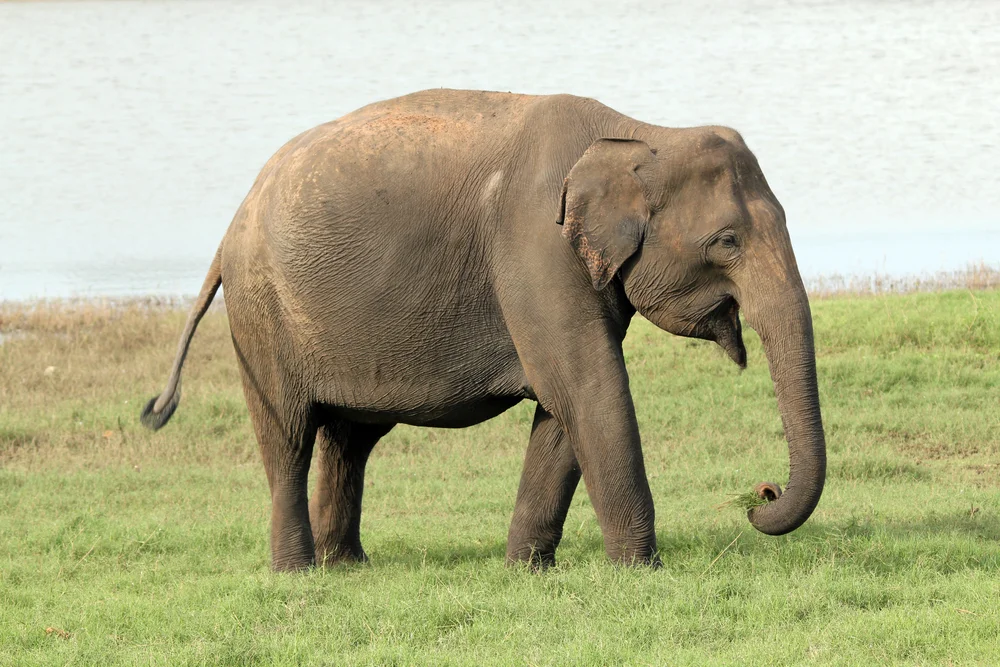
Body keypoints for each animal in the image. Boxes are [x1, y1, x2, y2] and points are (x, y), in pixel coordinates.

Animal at [141, 89, 826, 572]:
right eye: (727, 242)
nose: (762, 496)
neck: (644, 133)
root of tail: (233, 223)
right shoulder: (535, 248)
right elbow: (588, 388)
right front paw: (643, 571)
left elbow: (564, 407)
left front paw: (526, 570)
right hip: (262, 314)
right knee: (288, 436)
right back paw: (298, 572)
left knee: (350, 439)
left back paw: (350, 566)